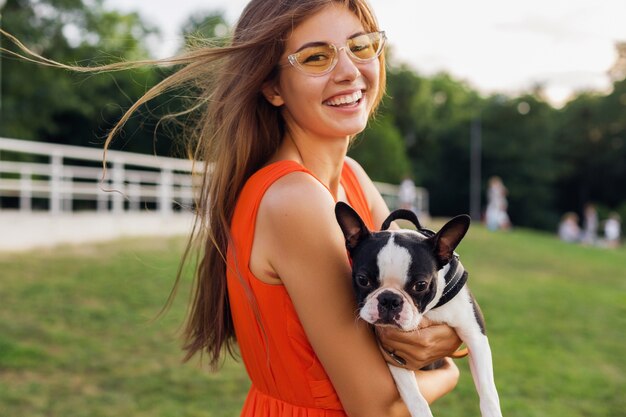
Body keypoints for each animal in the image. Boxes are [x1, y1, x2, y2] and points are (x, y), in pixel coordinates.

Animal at [334, 200, 500, 414]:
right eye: (363, 280)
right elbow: (415, 398)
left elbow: (488, 393)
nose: (389, 299)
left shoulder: (475, 336)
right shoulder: (393, 354)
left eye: (420, 285)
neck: (429, 312)